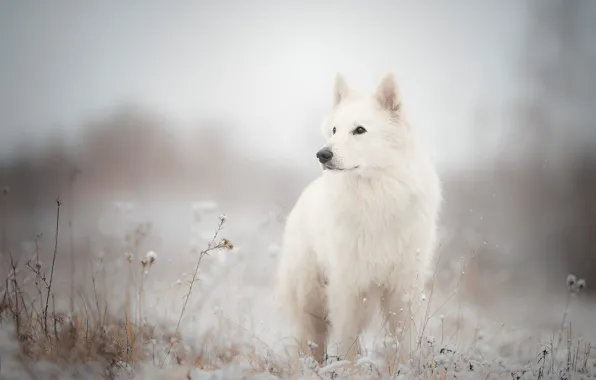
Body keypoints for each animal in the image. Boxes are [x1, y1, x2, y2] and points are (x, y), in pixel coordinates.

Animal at [276, 71, 442, 366]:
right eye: (334, 130)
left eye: (360, 130)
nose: (322, 154)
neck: (376, 197)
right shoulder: (349, 285)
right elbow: (348, 340)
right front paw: (348, 369)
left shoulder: (402, 286)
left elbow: (403, 339)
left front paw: (402, 368)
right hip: (311, 298)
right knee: (310, 339)